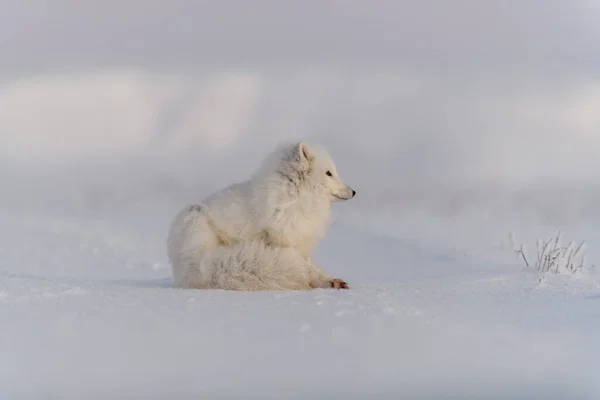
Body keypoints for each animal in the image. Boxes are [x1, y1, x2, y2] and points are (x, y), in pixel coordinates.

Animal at [166, 143, 354, 290]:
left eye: (334, 172)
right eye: (328, 173)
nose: (353, 192)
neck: (295, 200)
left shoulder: (300, 243)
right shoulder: (280, 241)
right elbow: (307, 268)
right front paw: (326, 280)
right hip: (195, 219)